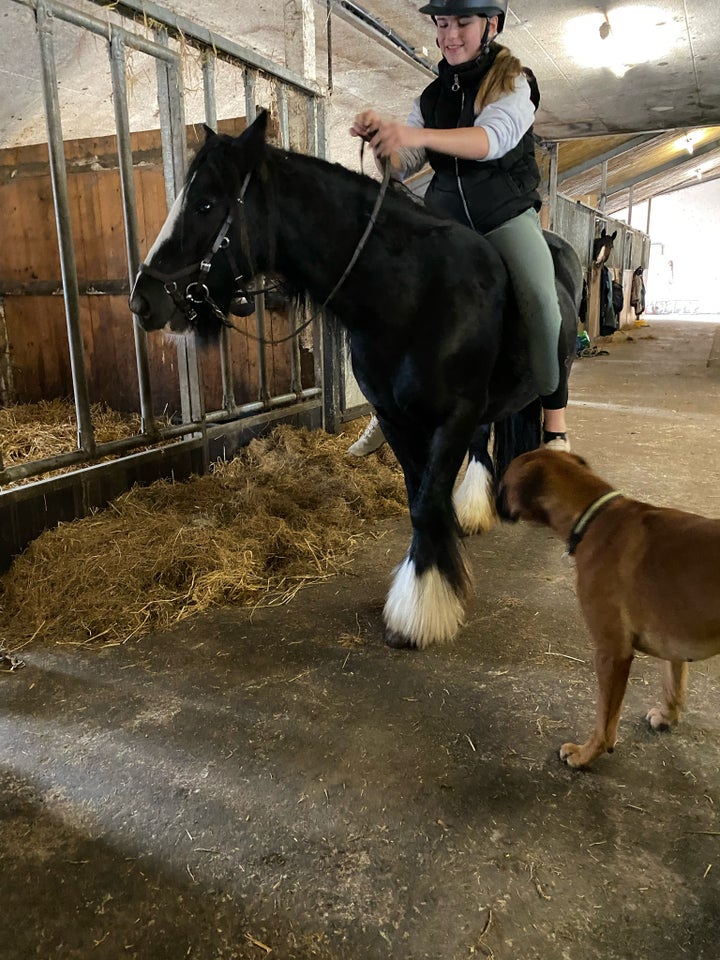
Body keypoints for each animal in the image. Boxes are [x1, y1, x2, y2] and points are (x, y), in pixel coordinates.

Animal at [129, 110, 584, 652]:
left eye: (205, 203)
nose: (143, 301)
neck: (415, 294)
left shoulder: (451, 417)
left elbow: (427, 505)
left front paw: (420, 611)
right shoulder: (396, 419)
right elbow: (420, 499)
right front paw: (435, 580)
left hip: (555, 375)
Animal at [498, 450, 720, 772]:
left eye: (503, 483)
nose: (492, 499)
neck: (594, 516)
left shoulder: (612, 653)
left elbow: (604, 723)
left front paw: (584, 754)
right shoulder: (674, 642)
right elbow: (673, 685)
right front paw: (667, 717)